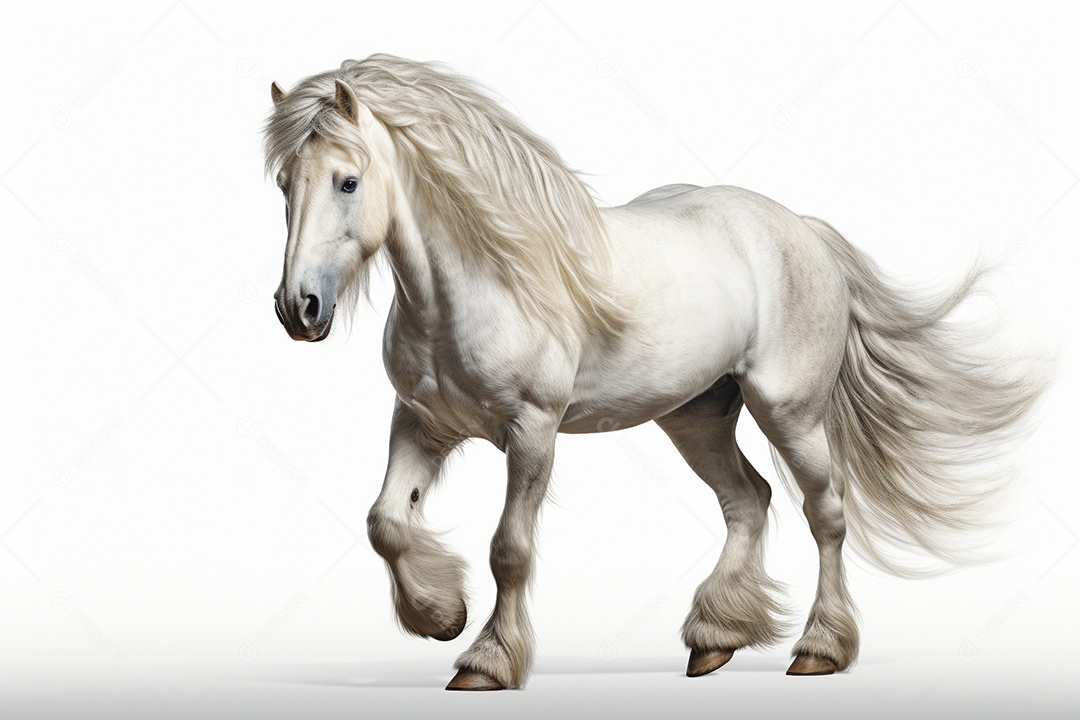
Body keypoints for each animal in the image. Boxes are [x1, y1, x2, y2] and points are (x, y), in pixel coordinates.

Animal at [263, 54, 1048, 690]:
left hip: (789, 411)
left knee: (825, 511)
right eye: (283, 184)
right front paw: (440, 617)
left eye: (347, 181)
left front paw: (486, 661)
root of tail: (802, 231)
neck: (483, 285)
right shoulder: (421, 423)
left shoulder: (532, 431)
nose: (298, 309)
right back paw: (715, 639)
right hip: (696, 417)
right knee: (749, 499)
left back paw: (818, 649)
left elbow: (509, 549)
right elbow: (386, 523)